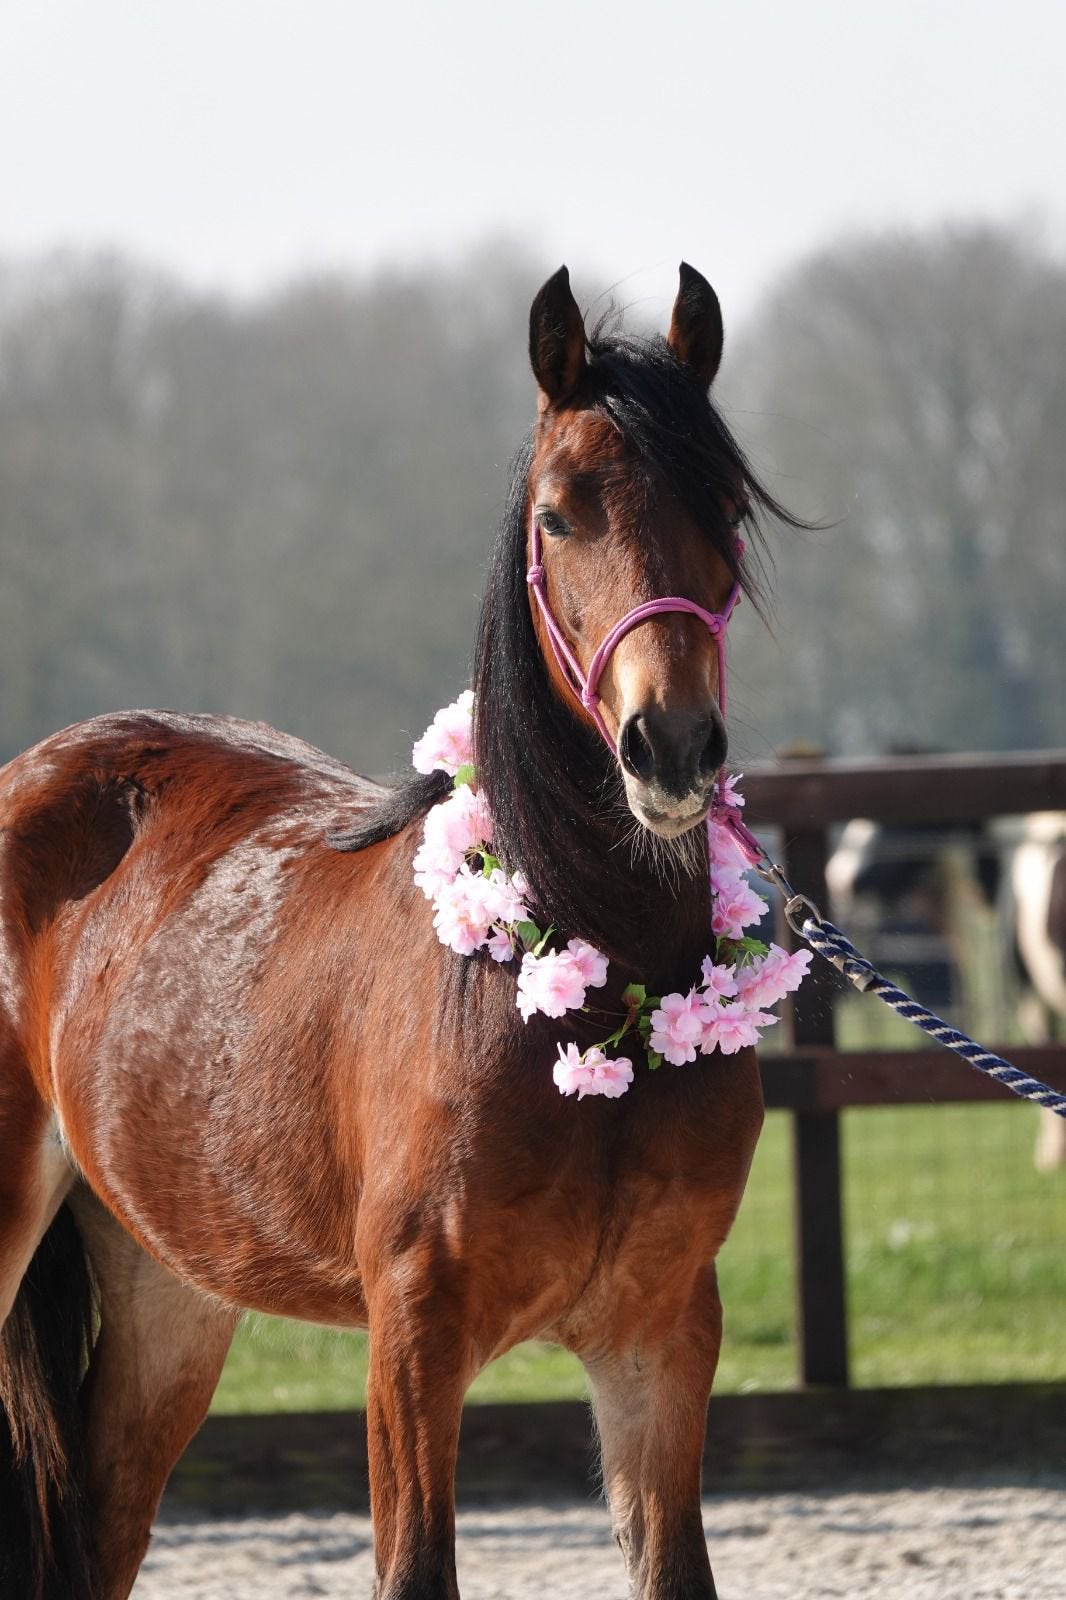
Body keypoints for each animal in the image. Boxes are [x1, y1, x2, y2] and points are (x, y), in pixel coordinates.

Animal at [0, 262, 800, 1600]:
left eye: (727, 508)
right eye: (558, 514)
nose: (671, 748)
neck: (596, 997)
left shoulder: (661, 1334)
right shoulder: (414, 1337)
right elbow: (415, 1567)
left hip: (169, 1283)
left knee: (103, 1524)